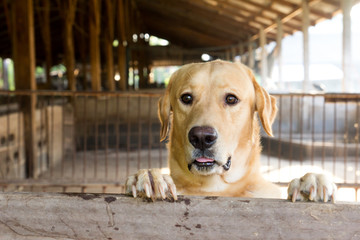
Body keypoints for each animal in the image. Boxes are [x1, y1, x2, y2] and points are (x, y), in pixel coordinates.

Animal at [125, 60, 336, 202]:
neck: (215, 187)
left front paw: (310, 182)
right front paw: (152, 177)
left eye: (231, 99)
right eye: (186, 98)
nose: (201, 137)